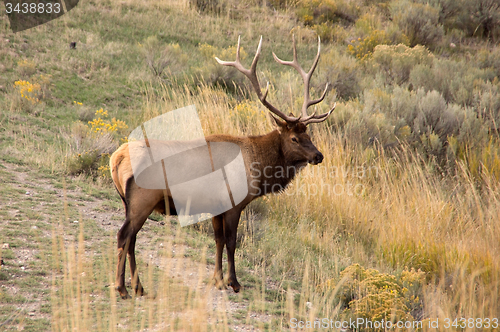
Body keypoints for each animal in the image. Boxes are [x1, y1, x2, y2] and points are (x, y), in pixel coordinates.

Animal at [110, 35, 336, 298]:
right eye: (294, 139)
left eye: (308, 134)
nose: (318, 155)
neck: (257, 168)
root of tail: (116, 158)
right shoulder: (233, 203)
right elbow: (231, 241)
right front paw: (233, 282)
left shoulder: (216, 207)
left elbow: (217, 240)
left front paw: (217, 279)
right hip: (142, 199)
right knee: (124, 236)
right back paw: (122, 287)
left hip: (128, 201)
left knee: (131, 239)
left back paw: (138, 286)